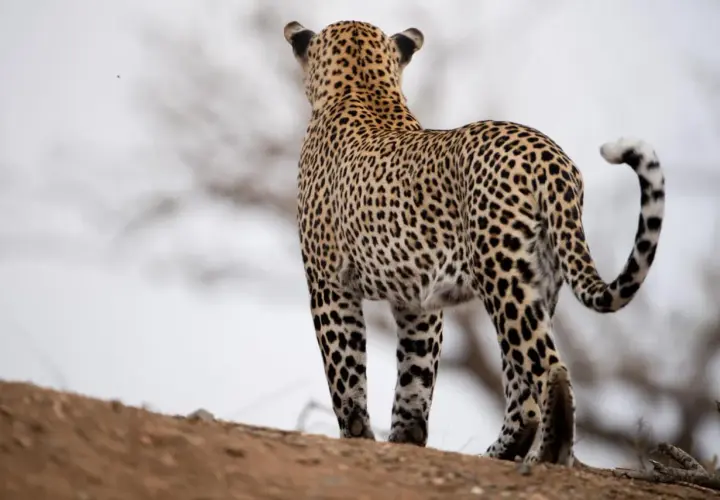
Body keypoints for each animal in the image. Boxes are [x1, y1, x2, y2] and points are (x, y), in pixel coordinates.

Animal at [282, 19, 665, 465]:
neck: (364, 86)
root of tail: (549, 156)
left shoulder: (328, 285)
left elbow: (344, 369)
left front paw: (357, 435)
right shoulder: (417, 301)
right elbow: (415, 374)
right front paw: (406, 438)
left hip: (501, 275)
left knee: (548, 371)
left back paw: (546, 457)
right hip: (540, 281)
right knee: (523, 390)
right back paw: (503, 453)